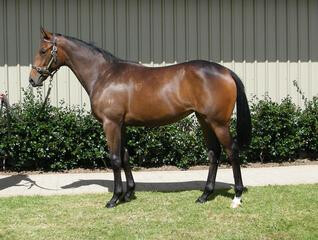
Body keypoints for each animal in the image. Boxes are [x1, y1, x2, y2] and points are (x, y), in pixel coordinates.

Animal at [28, 27, 251, 208]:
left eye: (42, 51)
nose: (32, 79)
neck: (103, 75)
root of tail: (226, 71)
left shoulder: (111, 124)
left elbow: (115, 158)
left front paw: (114, 198)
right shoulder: (122, 125)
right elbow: (125, 156)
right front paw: (128, 193)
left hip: (218, 123)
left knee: (232, 151)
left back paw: (237, 196)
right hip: (204, 120)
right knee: (214, 153)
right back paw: (205, 195)